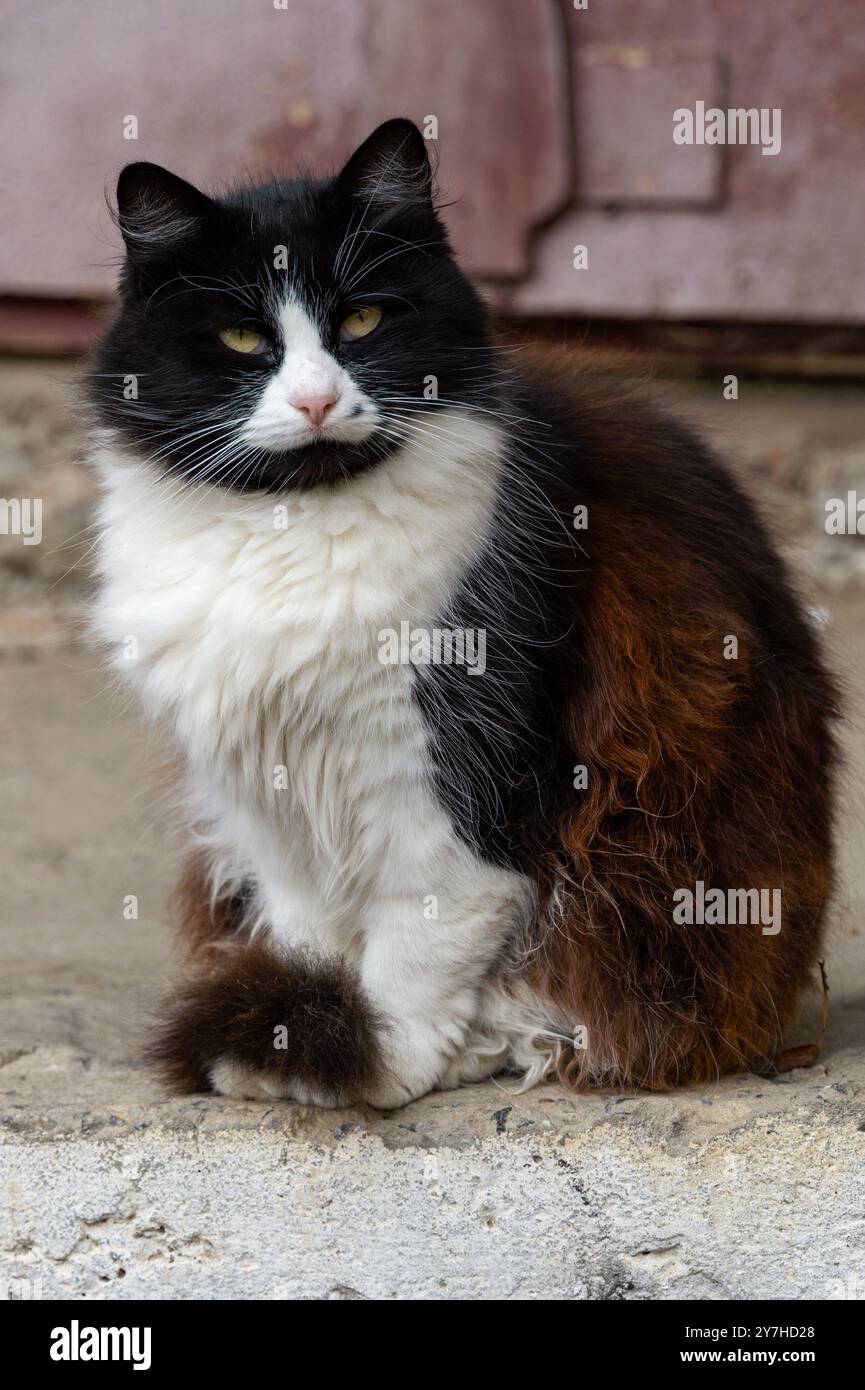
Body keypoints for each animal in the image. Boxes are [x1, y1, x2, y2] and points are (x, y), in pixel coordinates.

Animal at [89, 122, 839, 1117]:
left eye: (362, 323)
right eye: (243, 336)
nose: (316, 401)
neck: (293, 523)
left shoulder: (455, 762)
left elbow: (421, 937)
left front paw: (377, 1060)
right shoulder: (265, 794)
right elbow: (309, 932)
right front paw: (305, 1026)